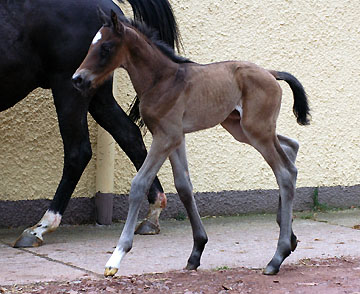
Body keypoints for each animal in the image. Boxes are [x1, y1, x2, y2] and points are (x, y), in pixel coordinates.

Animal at [0, 0, 180, 248]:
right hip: (96, 93)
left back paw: (41, 227)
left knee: (78, 151)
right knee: (129, 134)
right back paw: (152, 214)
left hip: (69, 88)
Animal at [72, 9, 310, 276]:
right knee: (291, 148)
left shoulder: (166, 137)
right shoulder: (175, 137)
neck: (162, 80)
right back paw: (290, 237)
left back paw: (277, 257)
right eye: (92, 45)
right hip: (241, 128)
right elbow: (184, 186)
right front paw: (196, 252)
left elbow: (139, 184)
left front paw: (116, 258)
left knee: (284, 172)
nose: (77, 79)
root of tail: (271, 72)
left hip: (255, 129)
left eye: (106, 47)